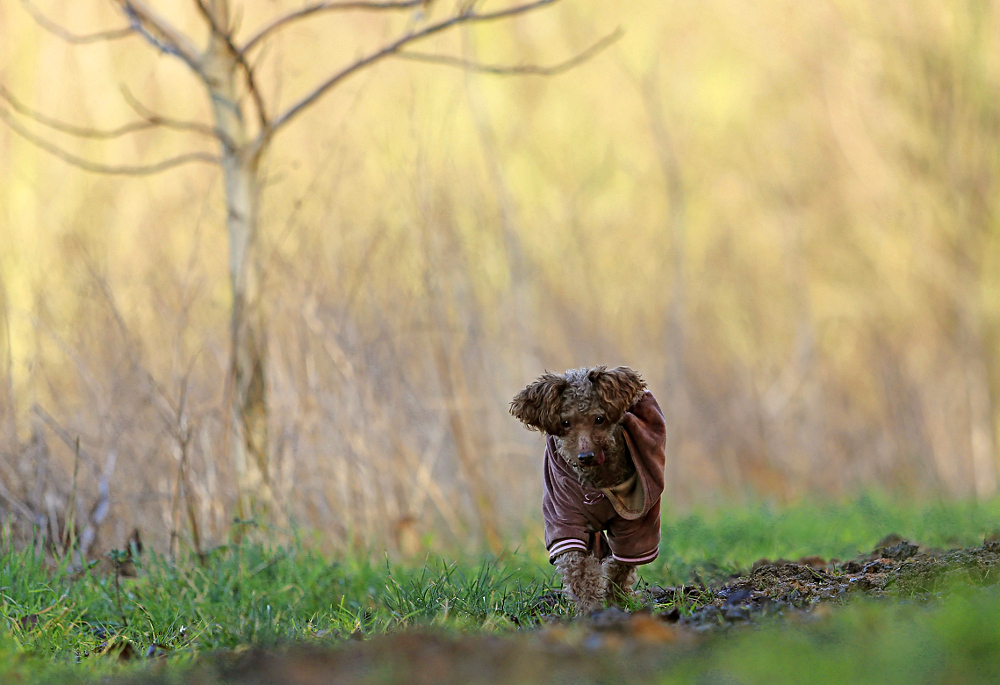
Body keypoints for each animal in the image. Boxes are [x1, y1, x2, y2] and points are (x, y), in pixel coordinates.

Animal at [512, 366, 668, 612]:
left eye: (599, 419)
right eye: (566, 423)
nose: (586, 456)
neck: (598, 479)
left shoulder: (638, 523)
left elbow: (621, 565)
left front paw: (618, 599)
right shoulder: (563, 515)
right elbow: (578, 568)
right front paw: (590, 608)